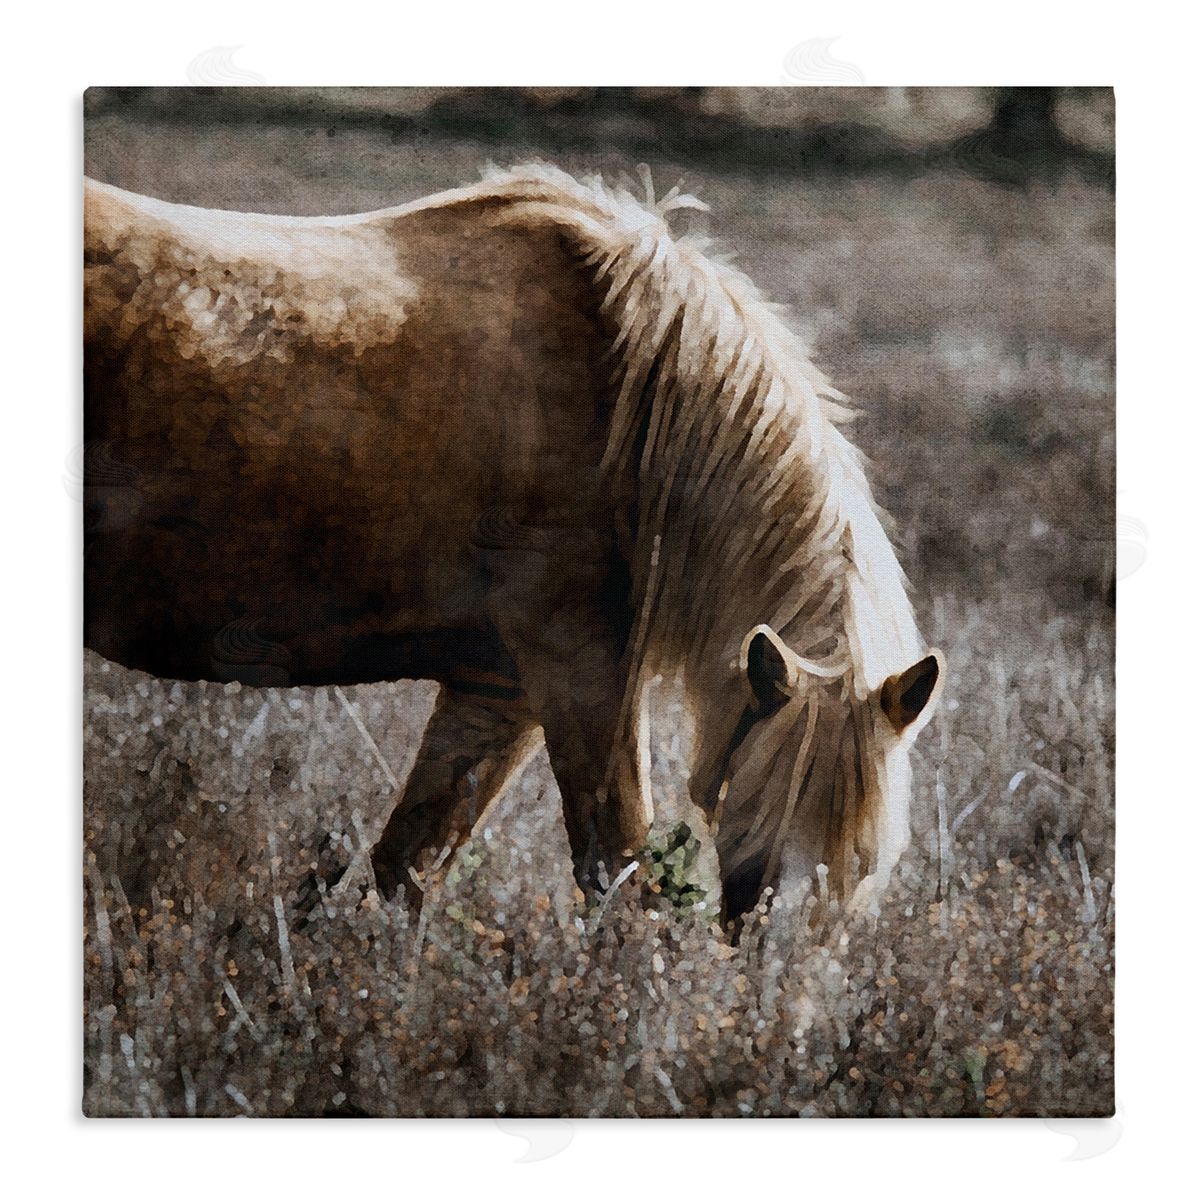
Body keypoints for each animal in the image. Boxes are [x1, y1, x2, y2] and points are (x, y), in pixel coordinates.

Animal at [84, 162, 943, 925]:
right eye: (763, 860)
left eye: (867, 868)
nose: (778, 1003)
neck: (632, 406)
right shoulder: (578, 678)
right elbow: (616, 877)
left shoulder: (497, 696)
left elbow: (407, 871)